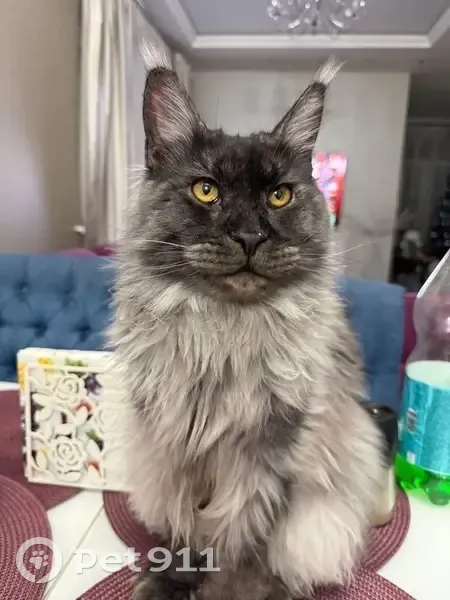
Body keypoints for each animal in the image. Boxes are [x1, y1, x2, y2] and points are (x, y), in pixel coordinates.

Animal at [110, 48, 384, 600]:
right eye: (206, 190)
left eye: (279, 196)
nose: (250, 236)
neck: (222, 340)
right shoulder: (177, 446)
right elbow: (185, 527)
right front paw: (174, 579)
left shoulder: (272, 451)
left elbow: (246, 541)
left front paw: (233, 589)